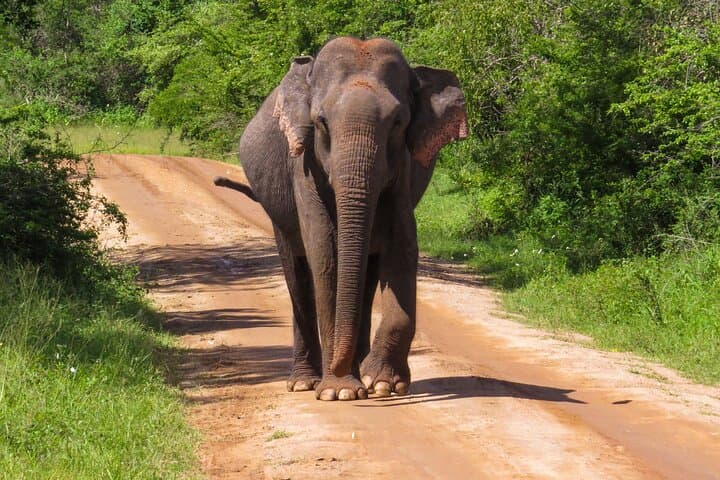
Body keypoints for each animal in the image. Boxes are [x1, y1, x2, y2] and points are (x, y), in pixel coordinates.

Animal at [223, 37, 467, 401]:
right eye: (321, 122)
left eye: (398, 122)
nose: (341, 369)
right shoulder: (304, 165)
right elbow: (324, 253)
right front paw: (338, 392)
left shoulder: (402, 170)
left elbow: (403, 248)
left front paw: (381, 385)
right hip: (278, 216)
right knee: (297, 274)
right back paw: (305, 382)